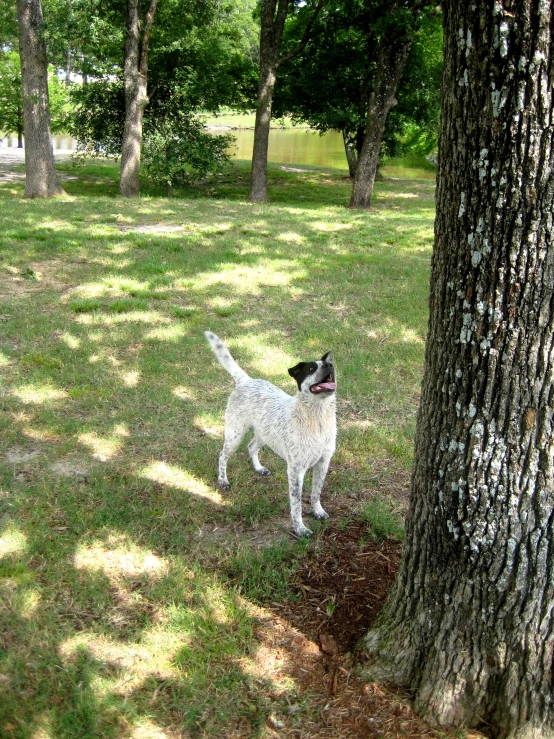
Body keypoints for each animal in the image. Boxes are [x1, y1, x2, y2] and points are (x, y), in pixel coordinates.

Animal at [204, 332, 336, 536]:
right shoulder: (296, 470)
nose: (330, 365)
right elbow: (296, 505)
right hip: (234, 435)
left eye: (327, 364)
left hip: (264, 435)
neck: (319, 419)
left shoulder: (323, 463)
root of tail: (246, 380)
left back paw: (259, 469)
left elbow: (316, 493)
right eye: (312, 368)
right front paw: (300, 528)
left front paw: (318, 512)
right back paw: (223, 480)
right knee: (222, 456)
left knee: (251, 447)